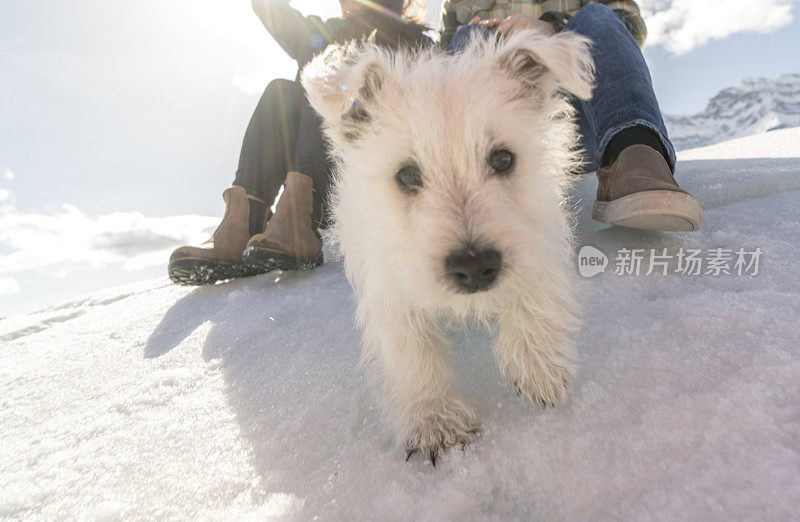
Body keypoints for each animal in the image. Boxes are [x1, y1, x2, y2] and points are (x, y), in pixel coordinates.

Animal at [304, 30, 596, 462]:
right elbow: (411, 351)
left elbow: (535, 287)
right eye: (407, 175)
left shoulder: (536, 227)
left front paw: (538, 364)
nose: (475, 267)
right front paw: (435, 421)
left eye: (503, 158)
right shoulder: (388, 282)